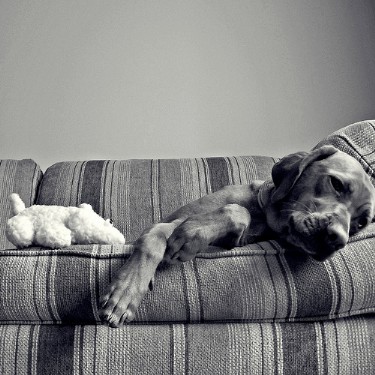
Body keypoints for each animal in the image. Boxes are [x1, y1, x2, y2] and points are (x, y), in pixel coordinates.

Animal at [99, 145, 375, 328]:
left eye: (361, 223)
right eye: (336, 184)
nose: (338, 239)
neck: (262, 212)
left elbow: (235, 213)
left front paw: (193, 233)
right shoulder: (165, 224)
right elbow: (151, 241)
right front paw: (124, 294)